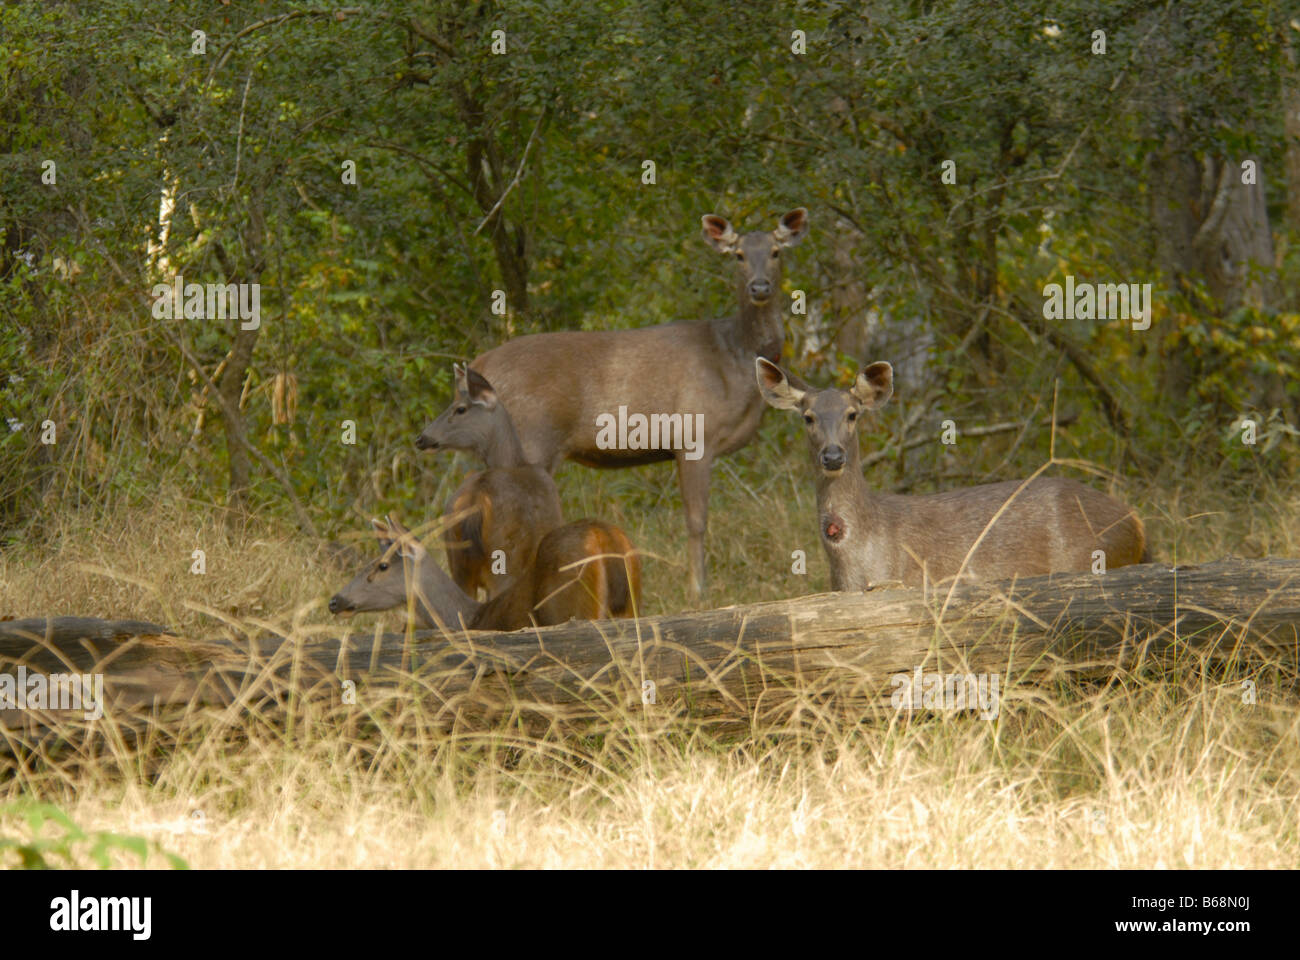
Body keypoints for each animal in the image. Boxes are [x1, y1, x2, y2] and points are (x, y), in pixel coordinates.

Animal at [327, 512, 642, 632]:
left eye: (381, 565)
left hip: (574, 609)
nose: (335, 600)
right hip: (630, 607)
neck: (469, 619)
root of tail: (604, 536)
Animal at [413, 361, 561, 595]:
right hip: (504, 560)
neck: (516, 462)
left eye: (460, 408)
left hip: (458, 564)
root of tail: (477, 498)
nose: (421, 439)